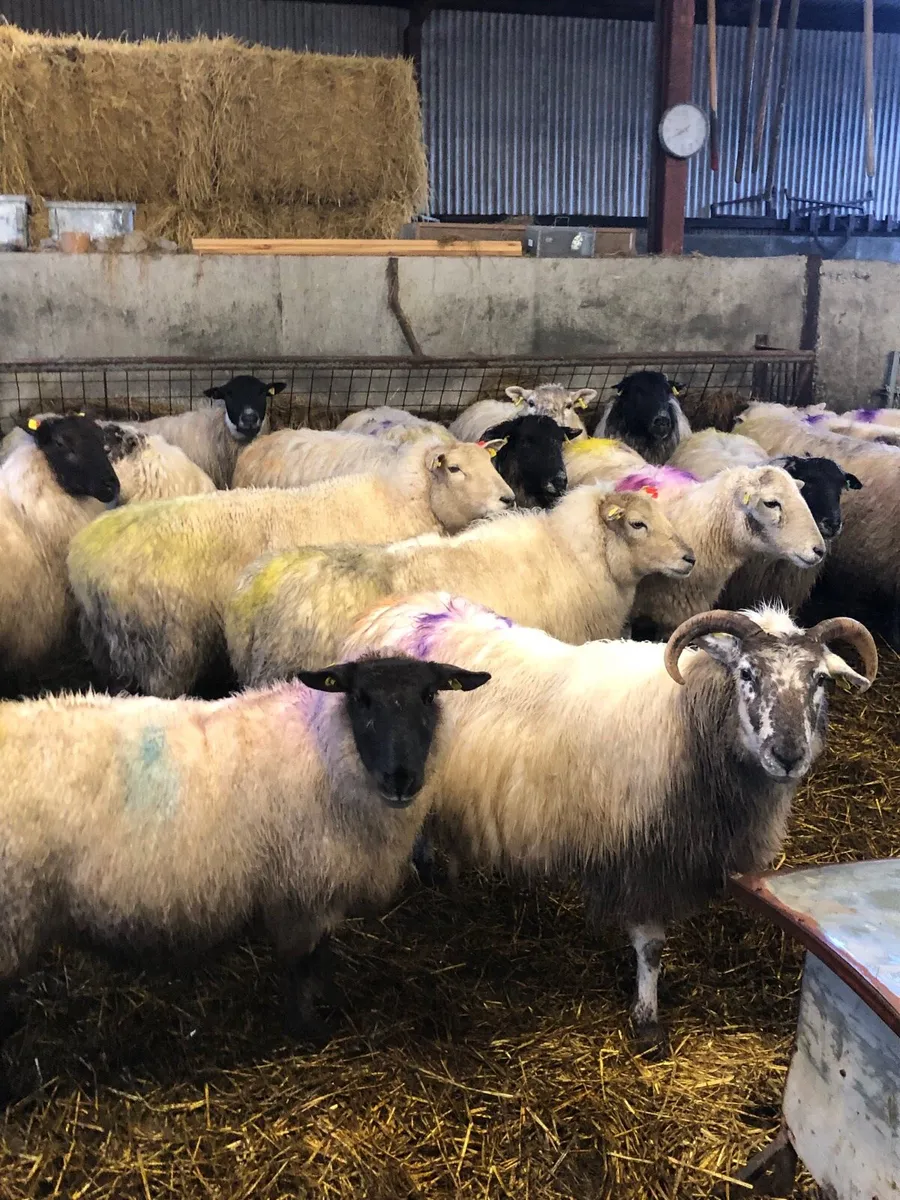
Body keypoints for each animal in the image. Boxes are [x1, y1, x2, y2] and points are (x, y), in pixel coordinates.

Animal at [0, 655, 489, 1062]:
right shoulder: (300, 892)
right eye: (361, 698)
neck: (327, 749)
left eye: (428, 695)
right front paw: (308, 1028)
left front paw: (332, 1000)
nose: (401, 778)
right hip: (13, 912)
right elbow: (301, 963)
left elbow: (324, 954)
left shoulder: (319, 888)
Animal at [69, 439, 515, 699]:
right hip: (163, 648)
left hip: (109, 647)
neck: (399, 499)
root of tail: (83, 556)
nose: (510, 499)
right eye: (454, 468)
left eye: (491, 461)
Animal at [339, 591, 876, 1048]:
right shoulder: (642, 858)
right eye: (746, 673)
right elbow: (651, 947)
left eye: (821, 679)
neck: (685, 724)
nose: (788, 755)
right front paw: (647, 1020)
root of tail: (392, 608)